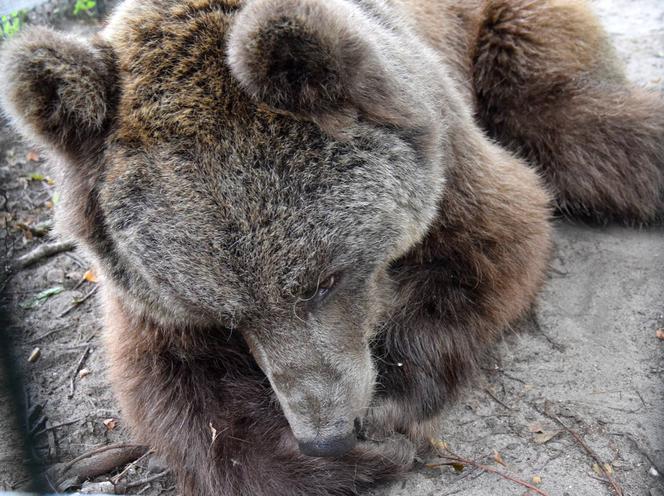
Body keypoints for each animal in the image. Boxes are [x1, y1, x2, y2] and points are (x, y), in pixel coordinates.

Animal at [0, 0, 660, 494]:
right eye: (225, 314)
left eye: (326, 279)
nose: (328, 433)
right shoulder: (139, 287)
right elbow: (172, 386)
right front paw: (330, 462)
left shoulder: (445, 153)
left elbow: (497, 237)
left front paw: (393, 398)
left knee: (573, 120)